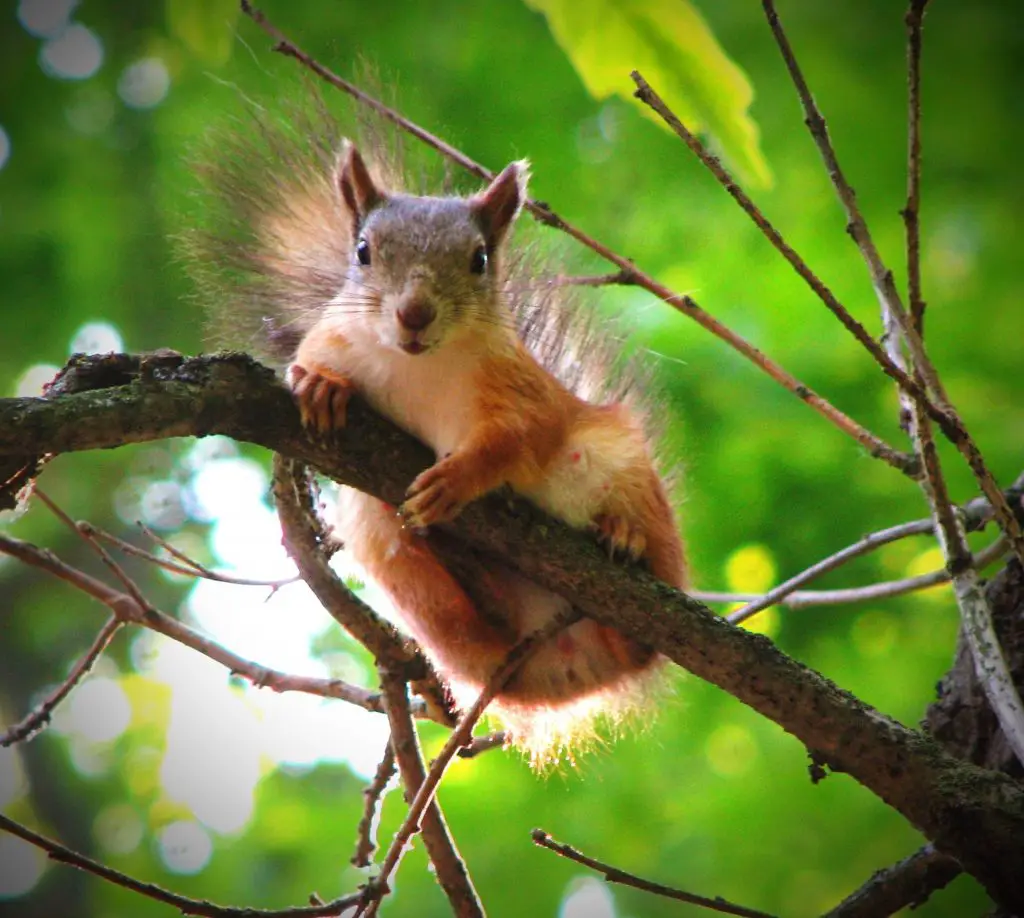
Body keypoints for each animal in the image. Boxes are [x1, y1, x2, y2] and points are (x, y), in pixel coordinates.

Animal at [189, 107, 686, 763]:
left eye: (479, 260)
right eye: (363, 251)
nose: (414, 313)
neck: (418, 366)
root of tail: (573, 666)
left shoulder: (520, 393)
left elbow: (515, 439)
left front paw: (458, 478)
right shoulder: (332, 338)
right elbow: (309, 363)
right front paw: (320, 385)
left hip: (619, 464)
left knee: (643, 634)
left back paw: (623, 539)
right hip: (395, 560)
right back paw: (460, 559)